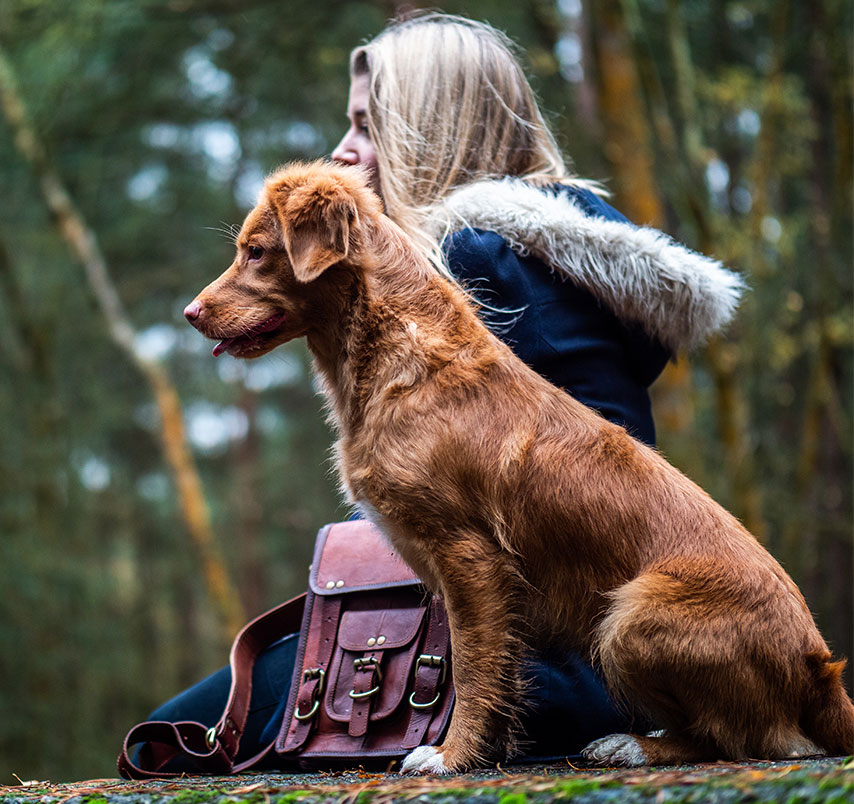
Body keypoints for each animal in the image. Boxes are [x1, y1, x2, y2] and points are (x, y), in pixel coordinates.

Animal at [186, 162, 854, 772]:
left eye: (256, 252)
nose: (190, 313)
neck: (396, 357)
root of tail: (819, 667)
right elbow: (499, 676)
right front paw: (487, 752)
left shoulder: (469, 556)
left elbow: (472, 669)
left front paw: (448, 757)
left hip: (628, 618)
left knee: (738, 738)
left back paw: (633, 745)